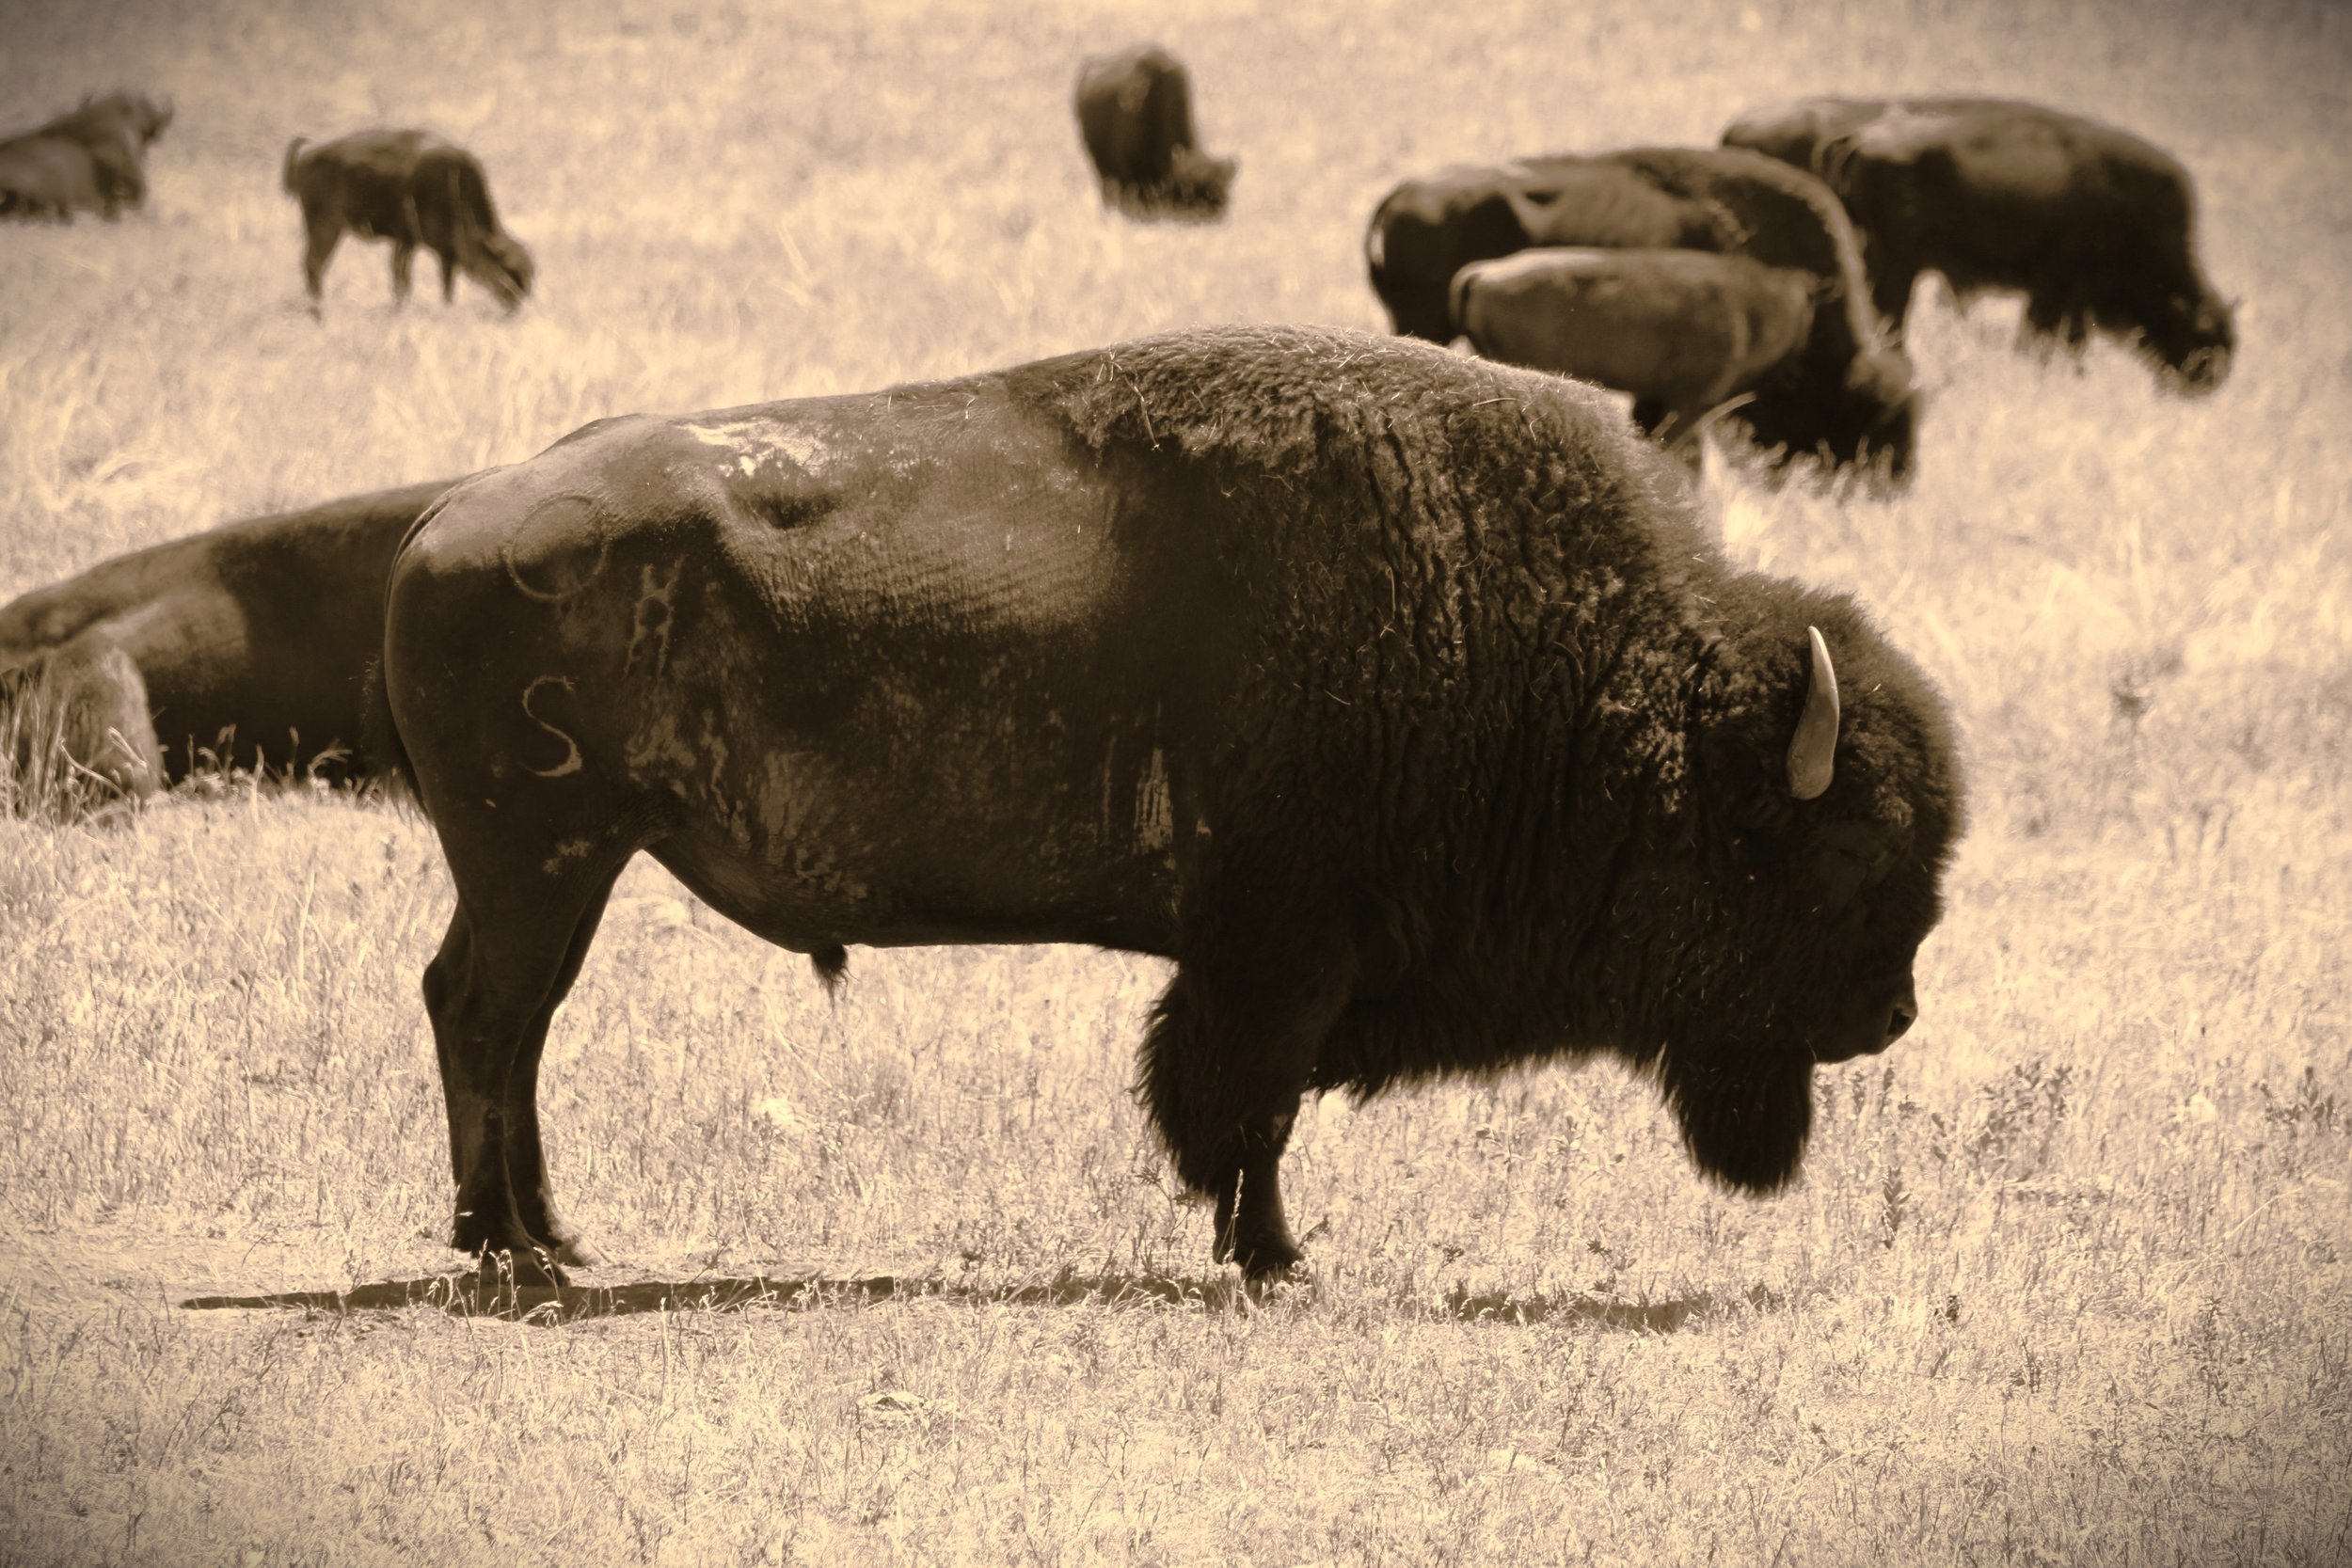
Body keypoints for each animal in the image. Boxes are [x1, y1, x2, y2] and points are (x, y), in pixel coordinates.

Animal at [282, 129, 534, 312]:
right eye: (506, 271)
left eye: (528, 275)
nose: (516, 305)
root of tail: (306, 156)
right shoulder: (408, 241)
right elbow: (404, 278)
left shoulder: (426, 247)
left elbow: (442, 281)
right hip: (325, 227)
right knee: (314, 264)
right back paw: (318, 304)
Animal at [373, 325, 1964, 1283]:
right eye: (1840, 853)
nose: (1891, 1014)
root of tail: (448, 520)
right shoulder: (1280, 956)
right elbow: (1246, 1101)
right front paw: (1274, 1255)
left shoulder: (1274, 958)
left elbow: (1241, 1101)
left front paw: (1259, 1245)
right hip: (545, 857)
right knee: (488, 1011)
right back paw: (510, 1249)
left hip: (572, 863)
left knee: (504, 1017)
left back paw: (550, 1234)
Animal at [1722, 95, 2234, 391]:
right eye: (2202, 336)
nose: (2208, 384)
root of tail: (1860, 138)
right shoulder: (2059, 292)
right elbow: (2047, 341)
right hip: (1897, 264)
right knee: (1891, 320)